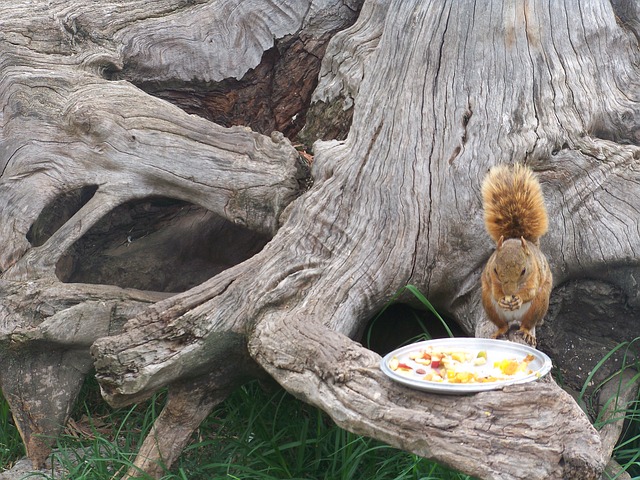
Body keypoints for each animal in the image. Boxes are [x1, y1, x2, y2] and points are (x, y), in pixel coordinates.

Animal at [482, 163, 552, 346]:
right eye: (495, 270)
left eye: (523, 271)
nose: (509, 292)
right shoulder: (490, 277)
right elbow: (495, 289)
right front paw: (501, 297)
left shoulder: (535, 275)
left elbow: (530, 292)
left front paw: (519, 298)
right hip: (489, 306)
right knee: (503, 325)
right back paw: (499, 331)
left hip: (539, 305)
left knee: (527, 323)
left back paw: (527, 332)